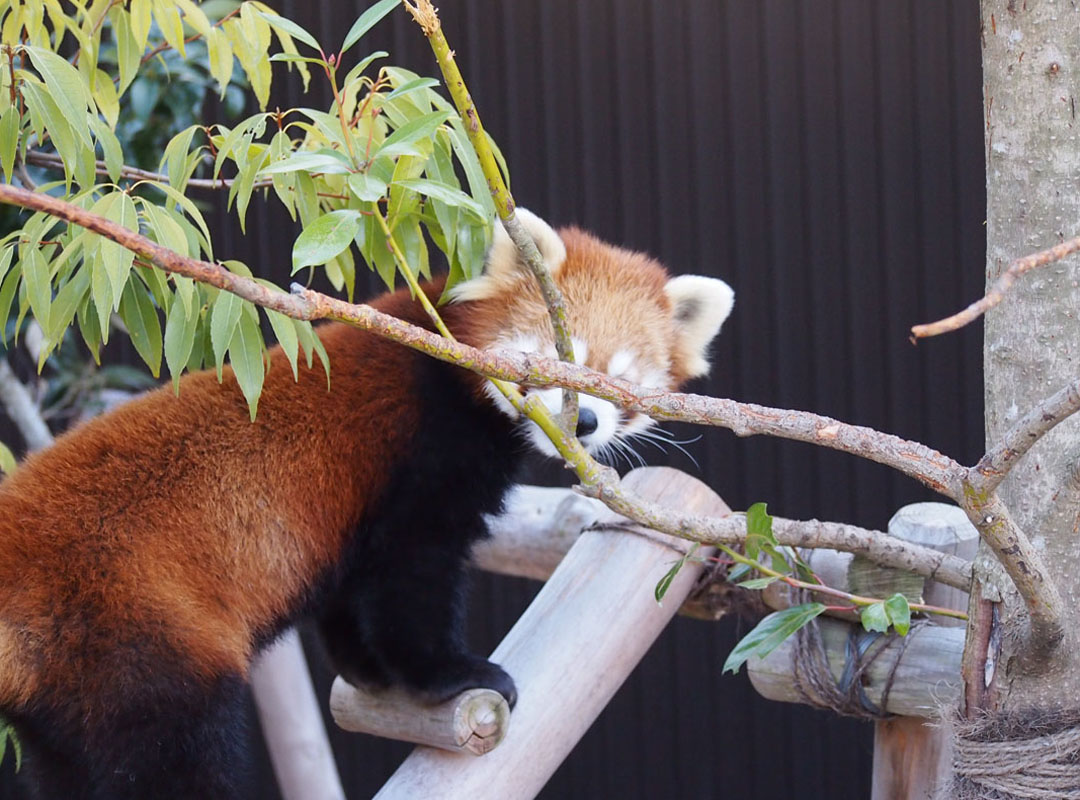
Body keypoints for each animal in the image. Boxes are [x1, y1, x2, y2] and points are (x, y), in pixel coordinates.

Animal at [0, 209, 734, 794]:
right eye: (559, 357)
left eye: (620, 383)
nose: (583, 424)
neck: (444, 354)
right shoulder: (424, 460)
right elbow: (411, 579)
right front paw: (448, 675)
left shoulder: (346, 519)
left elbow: (348, 592)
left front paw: (367, 671)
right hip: (140, 638)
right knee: (171, 759)